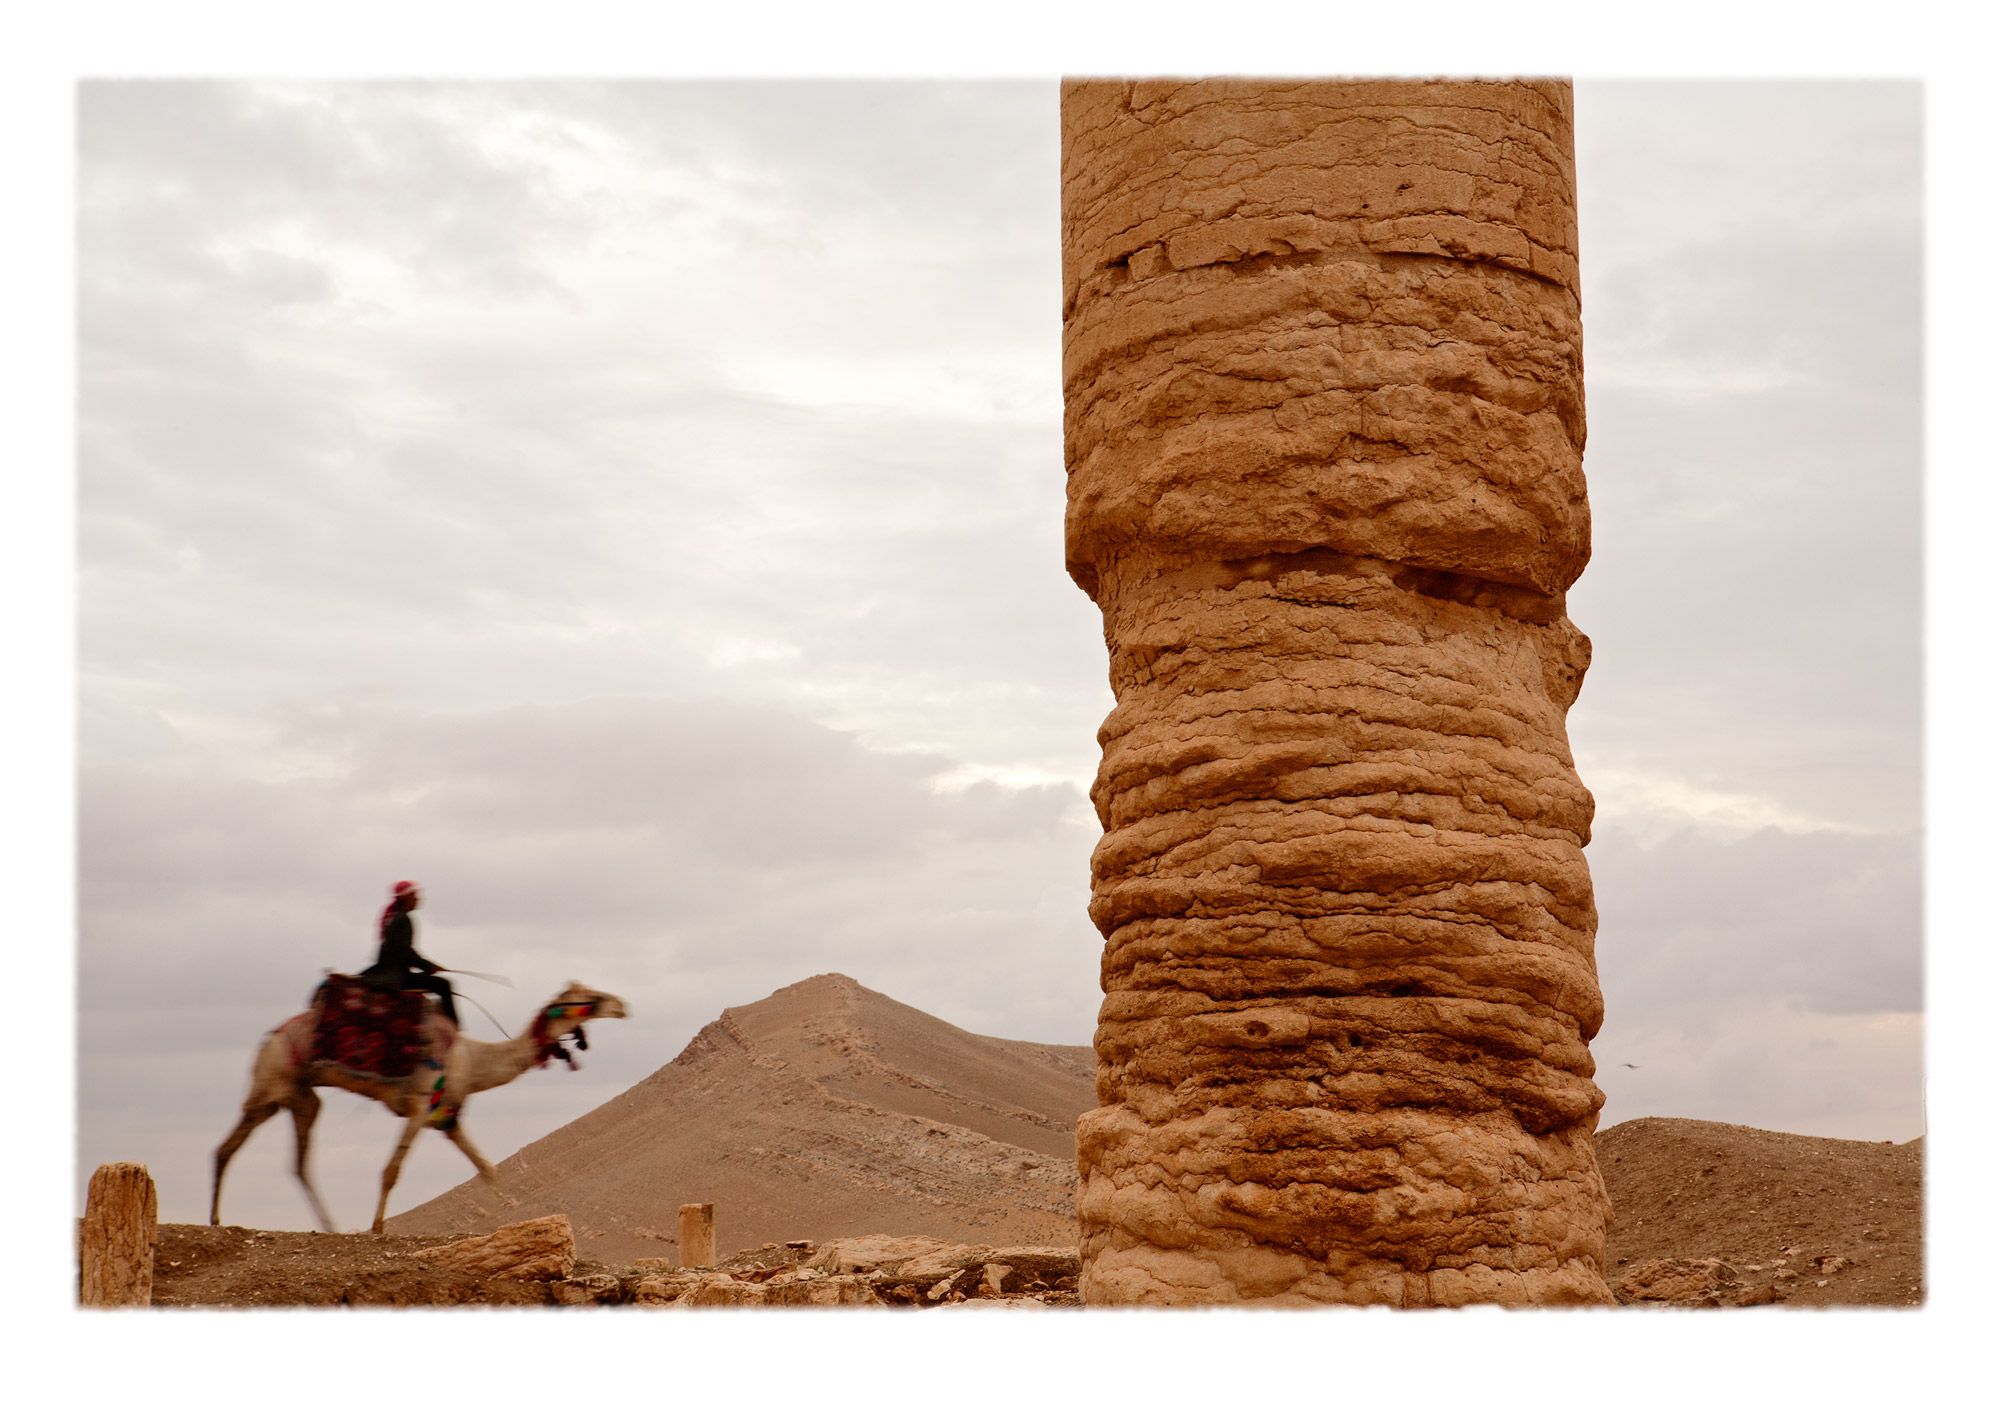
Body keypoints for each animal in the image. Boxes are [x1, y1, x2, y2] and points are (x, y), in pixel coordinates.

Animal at [207, 979, 620, 1231]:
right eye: (585, 999)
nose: (621, 1005)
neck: (471, 1061)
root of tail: (267, 1038)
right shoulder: (420, 1105)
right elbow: (391, 1170)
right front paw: (376, 1230)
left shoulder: (448, 1118)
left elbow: (488, 1170)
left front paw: (518, 1223)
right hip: (271, 1081)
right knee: (229, 1147)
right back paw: (217, 1220)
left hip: (298, 1095)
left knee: (290, 1160)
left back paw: (325, 1225)